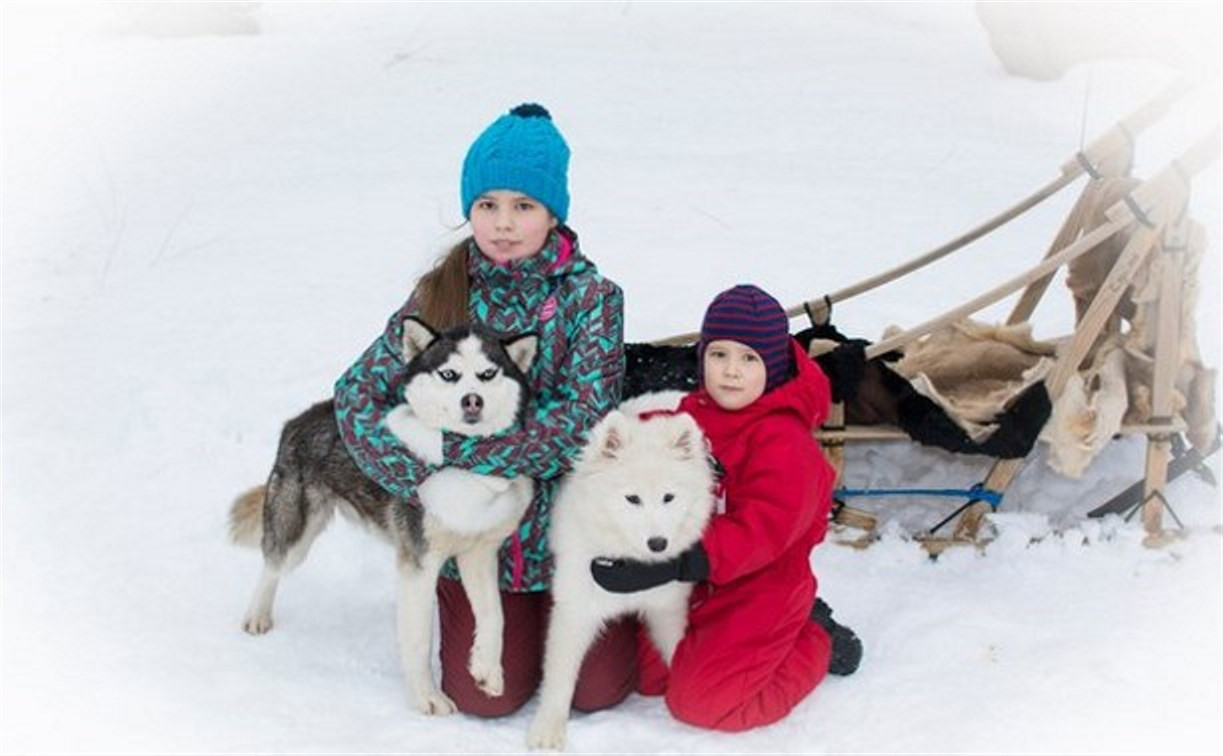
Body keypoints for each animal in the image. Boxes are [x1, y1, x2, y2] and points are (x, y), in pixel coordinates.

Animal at [229, 315, 535, 714]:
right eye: (449, 374)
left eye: (488, 374)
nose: (472, 400)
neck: (470, 465)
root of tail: (297, 420)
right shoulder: (418, 564)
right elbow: (418, 641)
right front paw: (427, 698)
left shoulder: (479, 554)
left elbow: (494, 616)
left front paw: (488, 670)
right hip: (295, 529)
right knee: (272, 565)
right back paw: (257, 616)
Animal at [525, 391, 714, 743]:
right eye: (632, 499)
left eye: (669, 497)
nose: (658, 543)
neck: (633, 566)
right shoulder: (575, 610)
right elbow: (561, 676)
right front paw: (548, 728)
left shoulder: (666, 607)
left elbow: (676, 649)